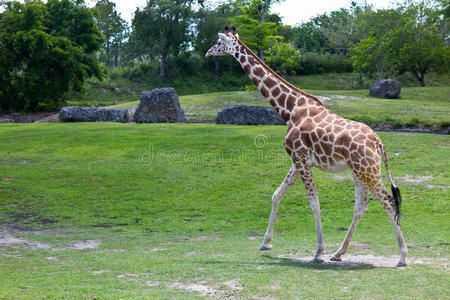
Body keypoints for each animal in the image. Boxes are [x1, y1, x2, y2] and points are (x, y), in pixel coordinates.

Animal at [207, 28, 408, 268]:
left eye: (219, 42)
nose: (208, 52)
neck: (289, 109)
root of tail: (378, 142)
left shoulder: (301, 158)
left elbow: (314, 203)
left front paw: (318, 251)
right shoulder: (298, 160)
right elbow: (276, 194)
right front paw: (266, 243)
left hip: (367, 170)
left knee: (388, 200)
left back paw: (402, 257)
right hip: (360, 170)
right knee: (362, 206)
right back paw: (338, 253)